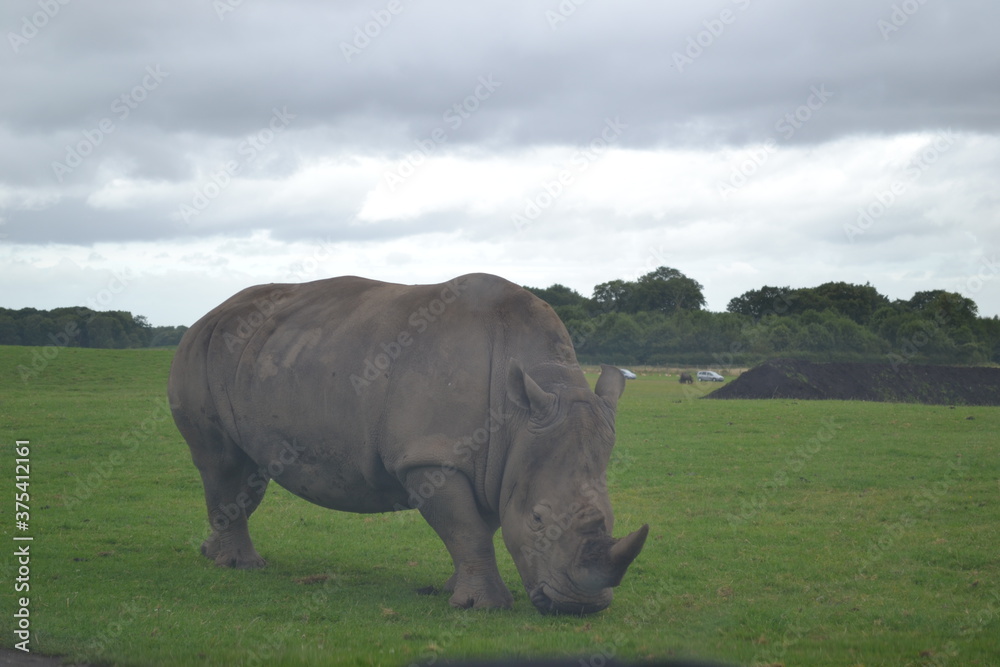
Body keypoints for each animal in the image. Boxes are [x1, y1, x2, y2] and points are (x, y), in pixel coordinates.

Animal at [168, 273, 648, 615]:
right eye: (538, 520)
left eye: (609, 517)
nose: (580, 607)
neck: (519, 415)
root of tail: (210, 313)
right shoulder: (430, 457)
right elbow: (467, 529)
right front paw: (483, 607)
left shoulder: (498, 462)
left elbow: (480, 525)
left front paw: (455, 590)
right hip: (200, 349)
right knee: (222, 462)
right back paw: (241, 567)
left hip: (260, 352)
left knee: (247, 472)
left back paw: (211, 554)